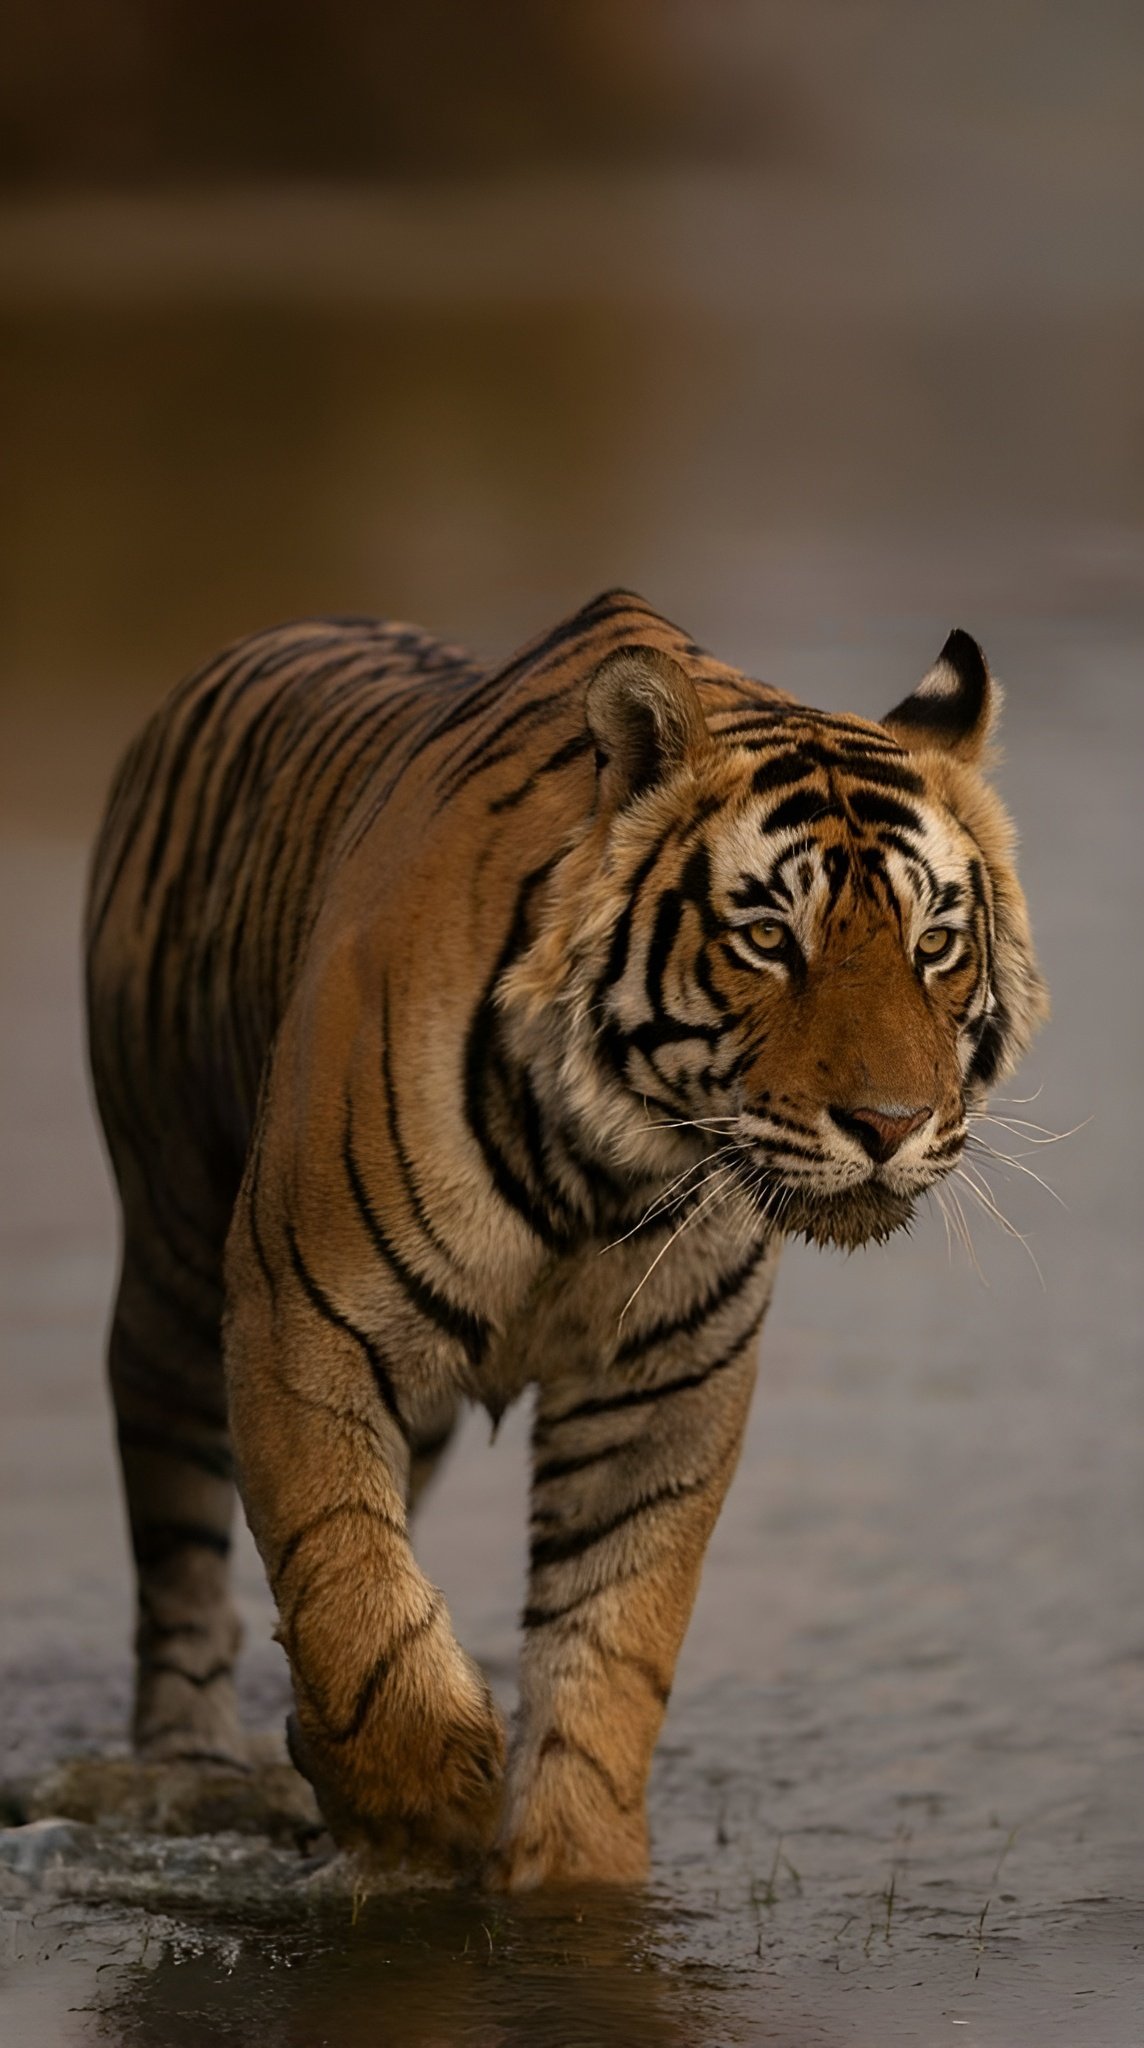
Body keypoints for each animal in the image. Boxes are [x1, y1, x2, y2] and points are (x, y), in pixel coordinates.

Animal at [84, 587, 1047, 1889]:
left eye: (933, 942)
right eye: (768, 938)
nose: (889, 1124)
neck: (606, 1159)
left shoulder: (664, 1380)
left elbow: (612, 1646)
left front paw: (572, 1873)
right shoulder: (301, 1314)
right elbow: (341, 1574)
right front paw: (426, 1803)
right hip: (174, 1256)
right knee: (180, 1547)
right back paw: (191, 1760)